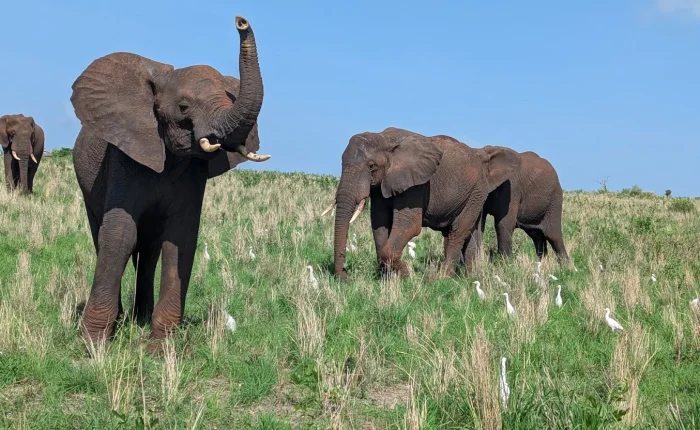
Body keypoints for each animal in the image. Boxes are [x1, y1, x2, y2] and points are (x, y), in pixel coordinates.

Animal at [70, 16, 270, 353]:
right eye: (184, 107)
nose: (240, 21)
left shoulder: (192, 173)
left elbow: (181, 239)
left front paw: (160, 349)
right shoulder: (125, 156)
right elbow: (120, 233)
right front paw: (94, 345)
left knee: (149, 252)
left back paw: (141, 318)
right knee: (103, 235)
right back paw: (123, 320)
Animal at [323, 127, 522, 280]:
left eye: (371, 166)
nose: (346, 277)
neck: (385, 139)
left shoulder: (416, 185)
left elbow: (408, 227)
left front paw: (406, 274)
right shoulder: (382, 185)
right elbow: (379, 226)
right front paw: (387, 279)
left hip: (476, 191)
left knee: (458, 230)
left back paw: (443, 279)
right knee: (472, 230)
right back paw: (470, 277)